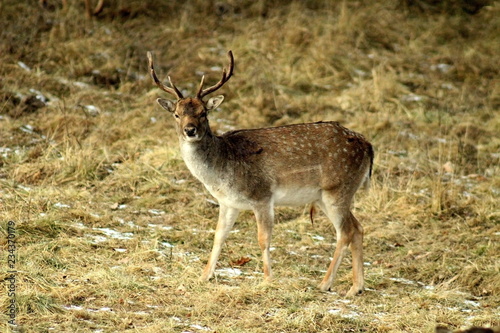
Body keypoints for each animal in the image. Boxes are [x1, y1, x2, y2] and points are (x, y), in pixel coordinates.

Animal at [148, 50, 376, 296]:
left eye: (203, 113)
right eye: (177, 114)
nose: (190, 130)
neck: (222, 171)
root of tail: (368, 146)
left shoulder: (262, 196)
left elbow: (263, 239)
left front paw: (267, 280)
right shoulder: (228, 202)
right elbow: (219, 236)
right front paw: (204, 276)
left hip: (337, 188)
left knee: (345, 232)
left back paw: (325, 284)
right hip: (325, 196)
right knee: (358, 227)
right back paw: (356, 287)